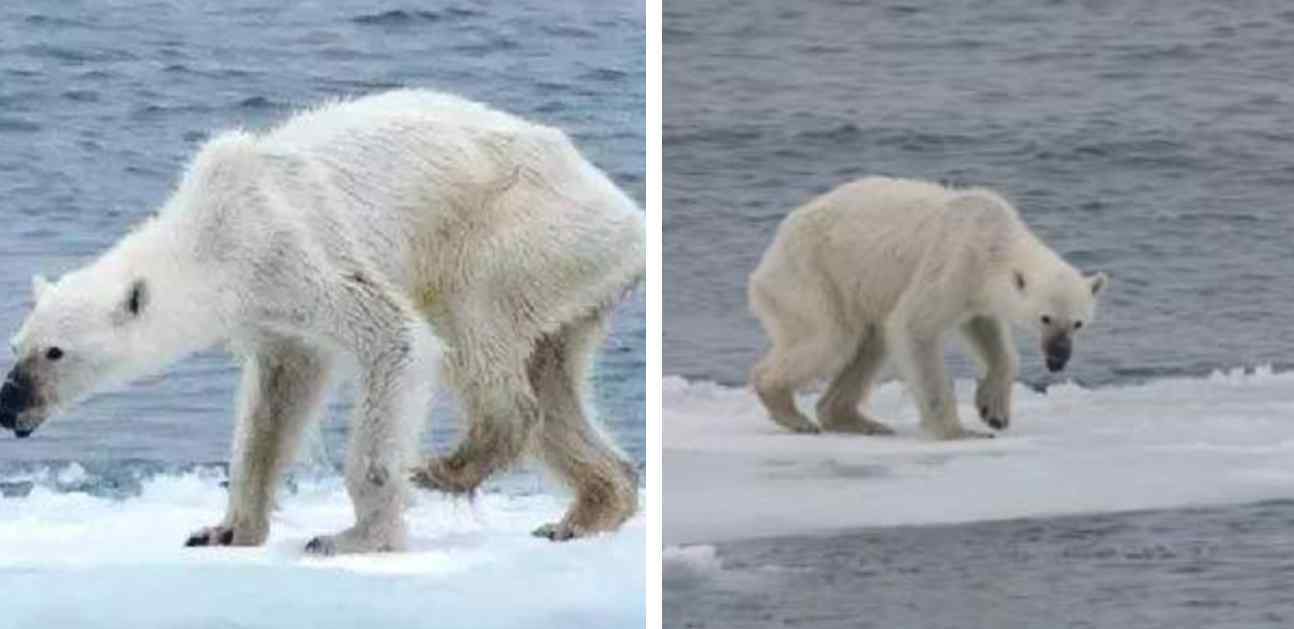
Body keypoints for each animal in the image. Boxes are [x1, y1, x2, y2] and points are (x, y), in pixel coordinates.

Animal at [0, 89, 644, 556]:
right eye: (17, 345)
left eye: (55, 352)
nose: (9, 406)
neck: (214, 231)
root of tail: (625, 213)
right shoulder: (270, 314)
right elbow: (276, 402)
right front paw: (223, 530)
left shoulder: (294, 250)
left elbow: (397, 338)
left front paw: (352, 537)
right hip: (572, 280)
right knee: (555, 382)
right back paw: (585, 511)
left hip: (518, 232)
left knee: (473, 324)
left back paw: (448, 466)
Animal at [750, 177, 1102, 440]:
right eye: (1045, 318)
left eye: (1078, 323)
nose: (1058, 359)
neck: (993, 239)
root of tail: (770, 254)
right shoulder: (954, 260)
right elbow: (914, 326)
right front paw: (960, 432)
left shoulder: (976, 291)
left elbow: (987, 332)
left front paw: (994, 411)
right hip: (813, 274)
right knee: (831, 338)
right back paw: (791, 412)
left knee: (871, 342)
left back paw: (858, 420)